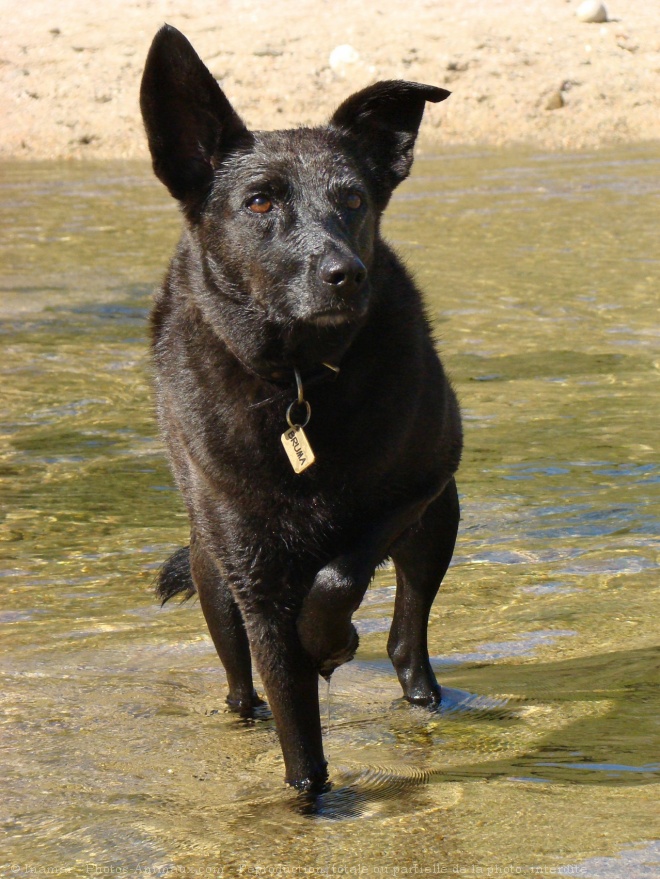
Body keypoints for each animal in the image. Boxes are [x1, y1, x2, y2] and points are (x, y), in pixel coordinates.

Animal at [142, 25, 462, 796]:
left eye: (353, 200)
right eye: (259, 202)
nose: (345, 274)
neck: (296, 382)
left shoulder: (419, 483)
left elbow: (339, 575)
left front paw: (330, 639)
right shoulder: (254, 580)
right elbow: (296, 732)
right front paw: (308, 798)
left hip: (440, 521)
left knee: (407, 637)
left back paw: (417, 690)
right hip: (211, 569)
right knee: (240, 683)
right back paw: (243, 707)